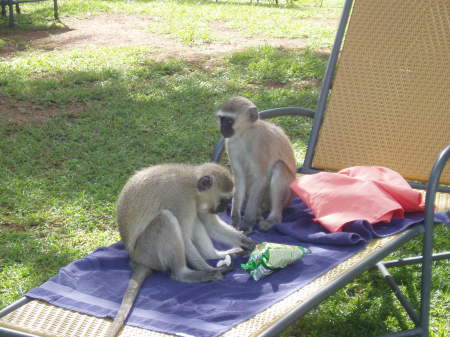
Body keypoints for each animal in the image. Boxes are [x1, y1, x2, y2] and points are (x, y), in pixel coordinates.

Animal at [105, 162, 253, 336]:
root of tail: (136, 260)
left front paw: (246, 242)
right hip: (148, 252)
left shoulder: (198, 203)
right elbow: (185, 238)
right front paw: (211, 269)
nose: (223, 209)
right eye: (224, 200)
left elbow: (210, 224)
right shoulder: (182, 201)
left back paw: (216, 255)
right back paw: (188, 273)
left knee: (196, 220)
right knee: (166, 219)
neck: (192, 185)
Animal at [215, 96, 298, 234]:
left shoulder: (260, 144)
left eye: (229, 120)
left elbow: (260, 178)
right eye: (222, 119)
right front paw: (236, 219)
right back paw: (258, 214)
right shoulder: (230, 143)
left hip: (287, 196)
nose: (222, 128)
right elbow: (240, 177)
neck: (245, 134)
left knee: (279, 167)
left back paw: (273, 218)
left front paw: (247, 222)